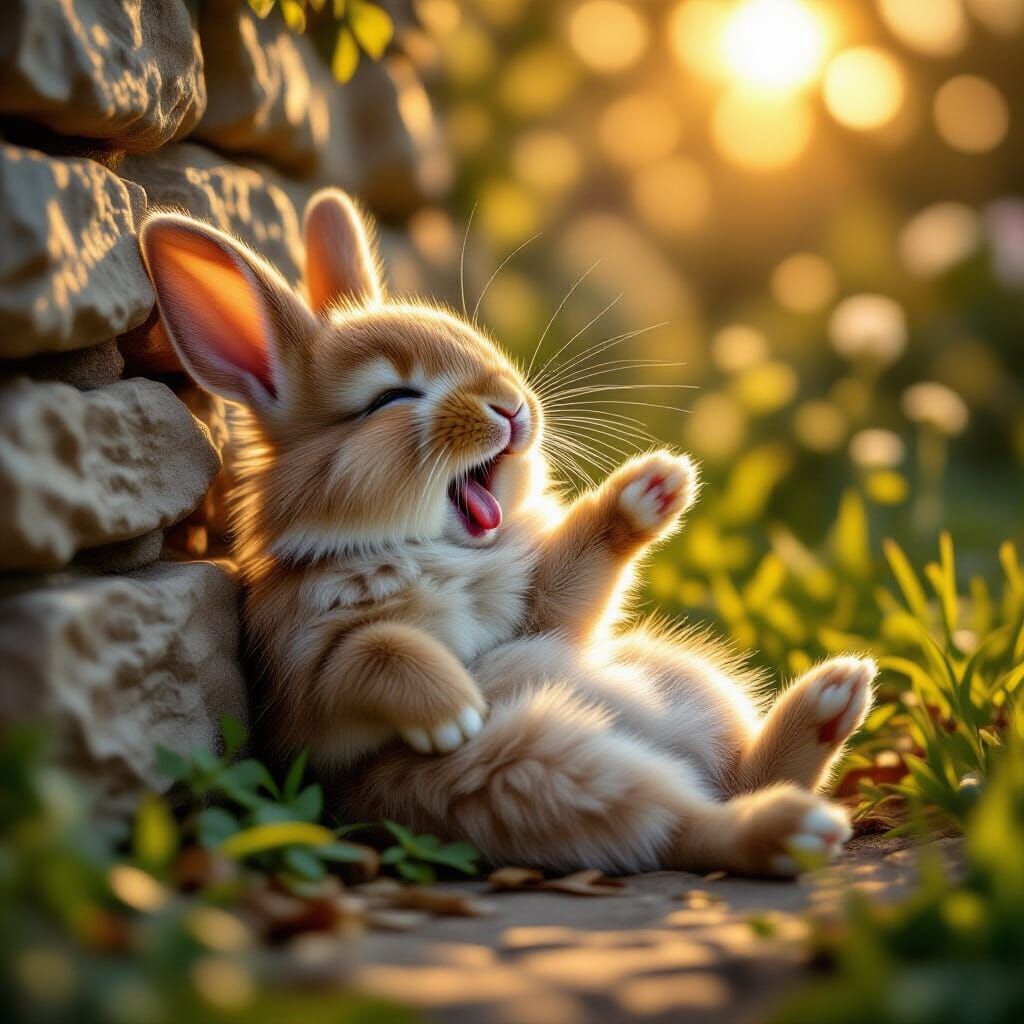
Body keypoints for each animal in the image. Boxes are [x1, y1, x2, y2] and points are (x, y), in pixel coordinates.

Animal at [140, 188, 876, 876]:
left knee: (737, 783)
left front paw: (658, 486)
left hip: (687, 682)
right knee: (688, 825)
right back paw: (800, 813)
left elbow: (573, 584)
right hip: (538, 772)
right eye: (391, 398)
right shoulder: (307, 668)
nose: (513, 407)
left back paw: (834, 697)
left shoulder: (537, 615)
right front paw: (456, 711)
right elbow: (376, 654)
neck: (434, 548)